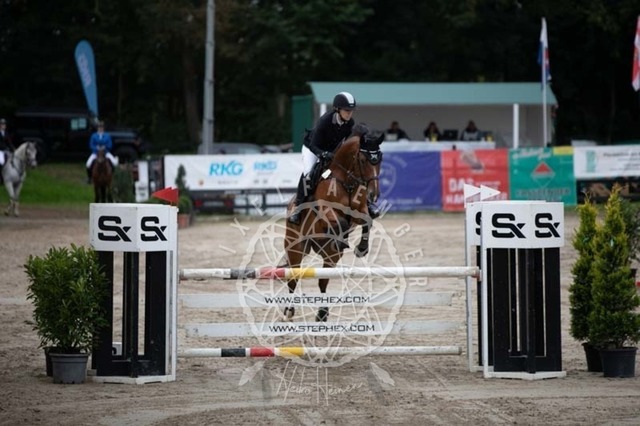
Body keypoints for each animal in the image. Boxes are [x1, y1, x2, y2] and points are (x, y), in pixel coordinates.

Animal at [283, 130, 384, 322]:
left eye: (380, 159)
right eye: (363, 160)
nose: (373, 195)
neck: (346, 179)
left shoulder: (360, 210)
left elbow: (367, 220)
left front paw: (361, 249)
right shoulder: (326, 211)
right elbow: (341, 222)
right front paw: (342, 239)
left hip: (330, 257)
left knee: (323, 281)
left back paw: (322, 313)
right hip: (296, 248)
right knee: (293, 279)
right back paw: (288, 311)